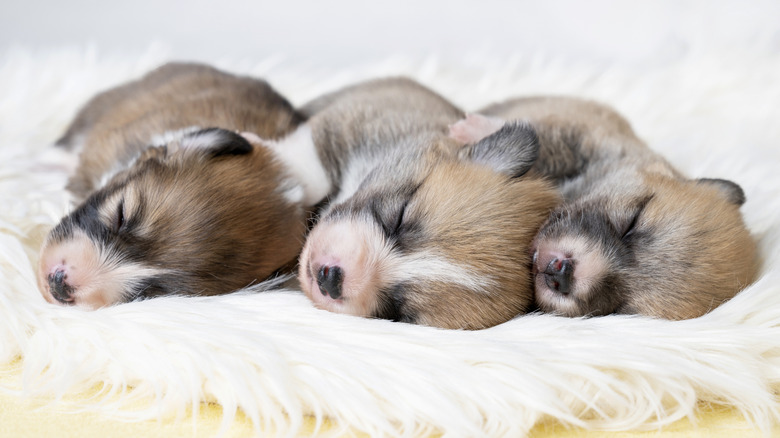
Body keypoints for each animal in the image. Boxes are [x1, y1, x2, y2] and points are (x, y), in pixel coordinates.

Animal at [448, 97, 760, 320]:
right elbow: (545, 138)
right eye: (631, 224)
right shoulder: (586, 133)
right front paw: (473, 128)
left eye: (620, 307)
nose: (560, 274)